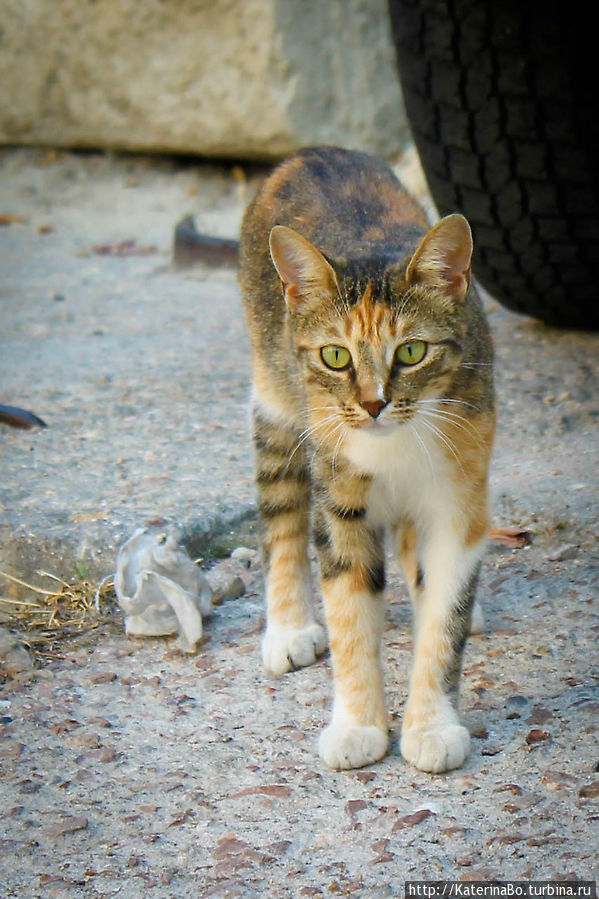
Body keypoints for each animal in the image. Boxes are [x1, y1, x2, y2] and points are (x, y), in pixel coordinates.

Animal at [239, 148, 496, 772]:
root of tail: (312, 152)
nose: (374, 403)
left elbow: (444, 618)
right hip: (277, 409)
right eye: (336, 356)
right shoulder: (340, 500)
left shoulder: (459, 499)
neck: (398, 442)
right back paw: (287, 628)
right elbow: (350, 613)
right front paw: (357, 725)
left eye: (412, 351)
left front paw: (432, 727)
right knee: (281, 517)